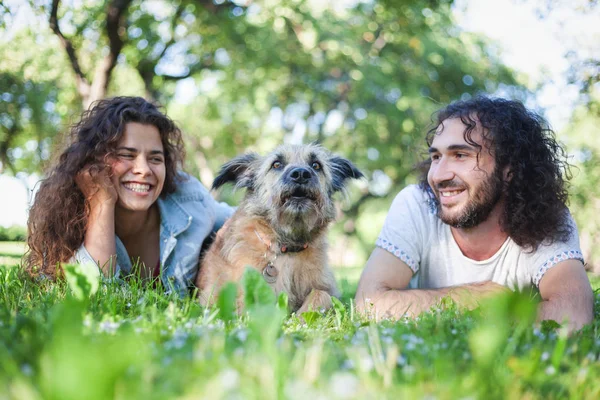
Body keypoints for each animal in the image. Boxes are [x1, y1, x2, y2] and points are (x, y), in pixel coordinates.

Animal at [197, 143, 364, 312]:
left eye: (316, 165)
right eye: (276, 164)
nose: (301, 174)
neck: (286, 248)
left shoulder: (329, 290)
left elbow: (321, 294)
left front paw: (301, 316)